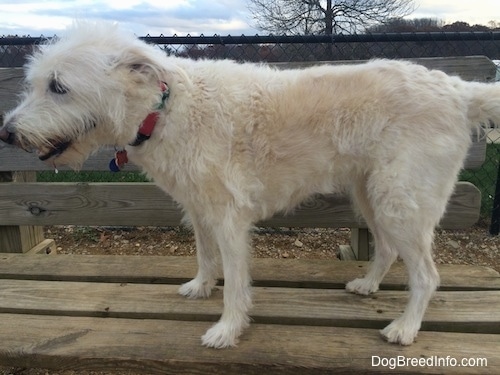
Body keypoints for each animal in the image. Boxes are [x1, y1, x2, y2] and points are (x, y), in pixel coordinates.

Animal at [0, 20, 500, 350]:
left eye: (58, 87)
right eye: (37, 84)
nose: (6, 133)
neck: (166, 107)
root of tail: (460, 90)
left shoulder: (229, 217)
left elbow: (236, 280)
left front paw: (227, 329)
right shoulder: (198, 206)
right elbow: (204, 255)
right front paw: (201, 286)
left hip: (400, 200)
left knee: (427, 275)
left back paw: (406, 328)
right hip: (371, 194)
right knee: (390, 248)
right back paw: (368, 285)